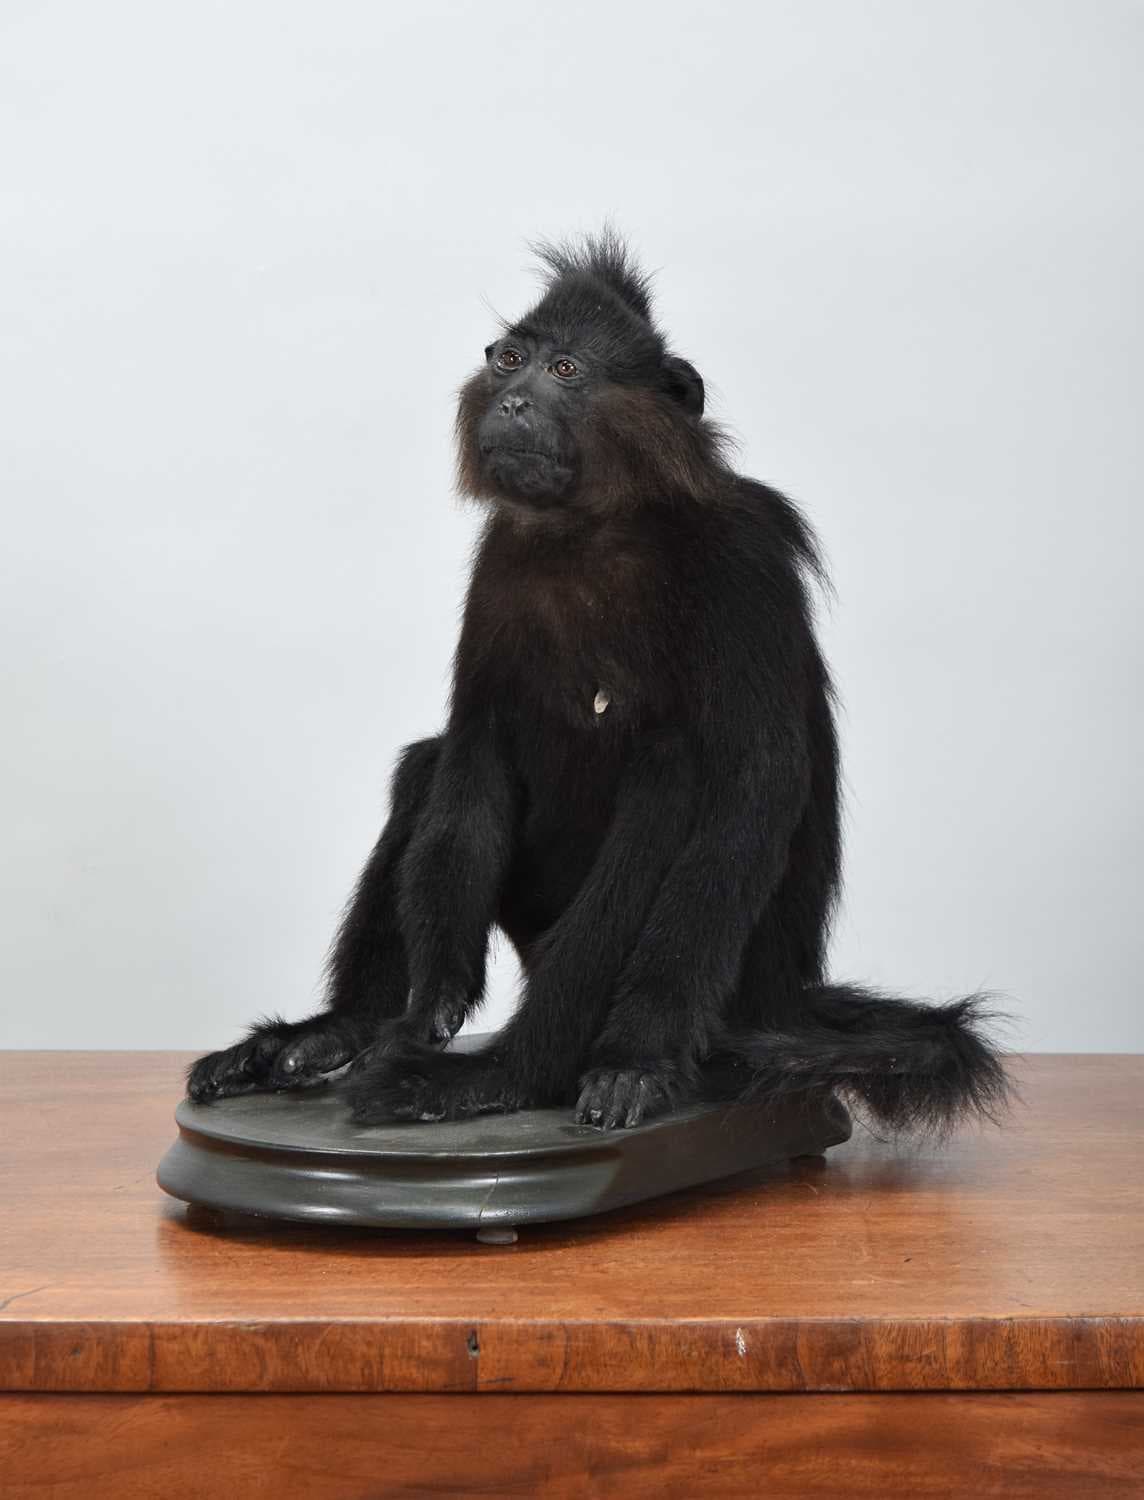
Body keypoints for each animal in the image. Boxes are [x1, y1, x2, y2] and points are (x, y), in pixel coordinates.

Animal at [187, 231, 1008, 1134]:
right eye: (510, 360)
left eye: (567, 370)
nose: (513, 403)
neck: (597, 525)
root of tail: (785, 1002)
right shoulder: (499, 565)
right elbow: (472, 755)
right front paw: (428, 1002)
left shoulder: (743, 558)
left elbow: (750, 788)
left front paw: (631, 1060)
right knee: (428, 767)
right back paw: (339, 1034)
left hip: (734, 984)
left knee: (671, 778)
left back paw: (505, 1075)